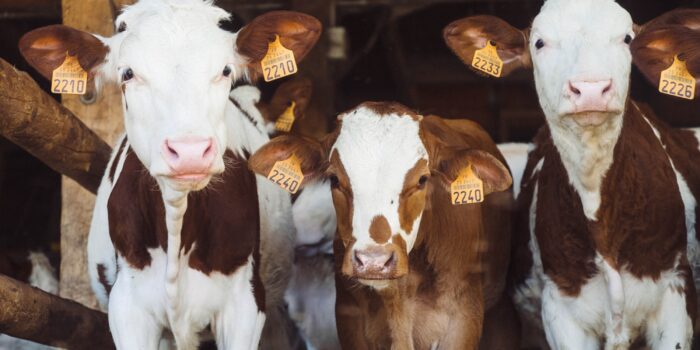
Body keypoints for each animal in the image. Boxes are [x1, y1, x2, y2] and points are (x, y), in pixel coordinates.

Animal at [249, 101, 516, 350]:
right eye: (334, 179)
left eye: (422, 179)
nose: (373, 262)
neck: (400, 296)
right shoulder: (349, 319)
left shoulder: (463, 319)